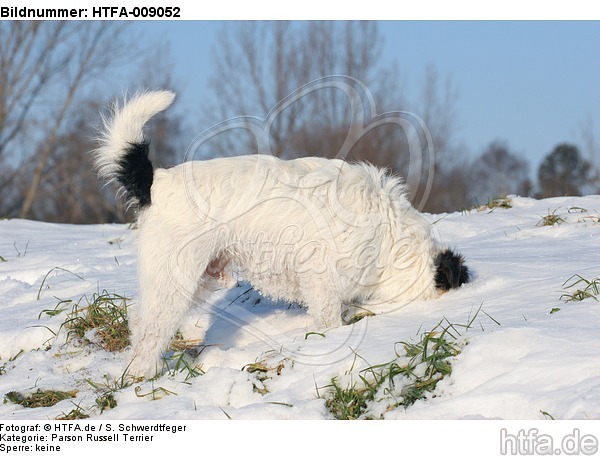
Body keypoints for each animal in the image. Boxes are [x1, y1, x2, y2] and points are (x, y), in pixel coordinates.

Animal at [92, 90, 468, 378]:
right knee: (152, 330)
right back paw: (142, 375)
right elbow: (329, 320)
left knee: (140, 319)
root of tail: (158, 182)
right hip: (176, 281)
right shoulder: (322, 282)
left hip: (195, 280)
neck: (390, 236)